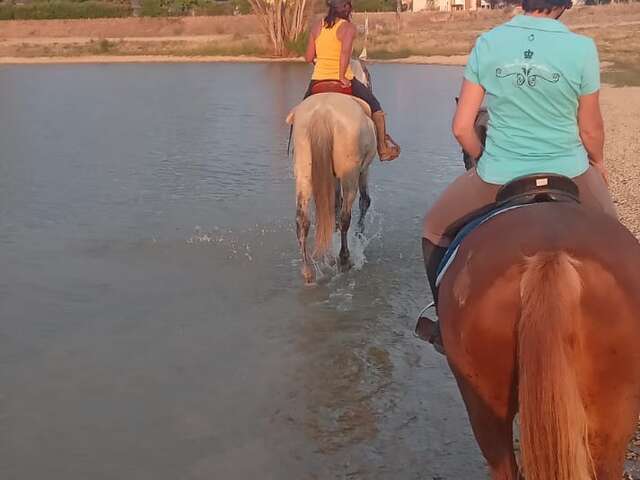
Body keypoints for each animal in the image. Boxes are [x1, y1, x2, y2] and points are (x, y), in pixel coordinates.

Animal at [284, 61, 376, 284]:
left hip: (304, 172)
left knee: (302, 219)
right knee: (345, 216)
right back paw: (344, 259)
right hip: (350, 174)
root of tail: (323, 112)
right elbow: (364, 201)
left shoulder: (331, 177)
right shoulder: (363, 170)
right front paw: (359, 235)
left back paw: (308, 271)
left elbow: (333, 204)